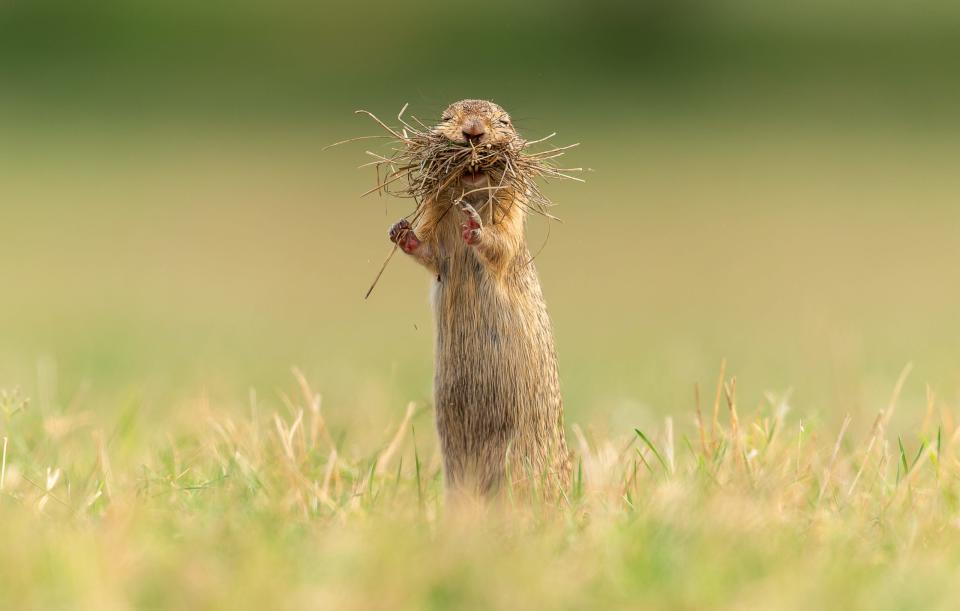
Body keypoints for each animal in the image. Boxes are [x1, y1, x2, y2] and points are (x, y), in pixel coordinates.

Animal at [388, 99, 568, 502]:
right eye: (446, 117)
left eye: (503, 121)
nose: (473, 131)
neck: (471, 193)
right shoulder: (439, 238)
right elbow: (429, 253)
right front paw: (400, 231)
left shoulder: (511, 227)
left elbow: (499, 248)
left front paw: (474, 227)